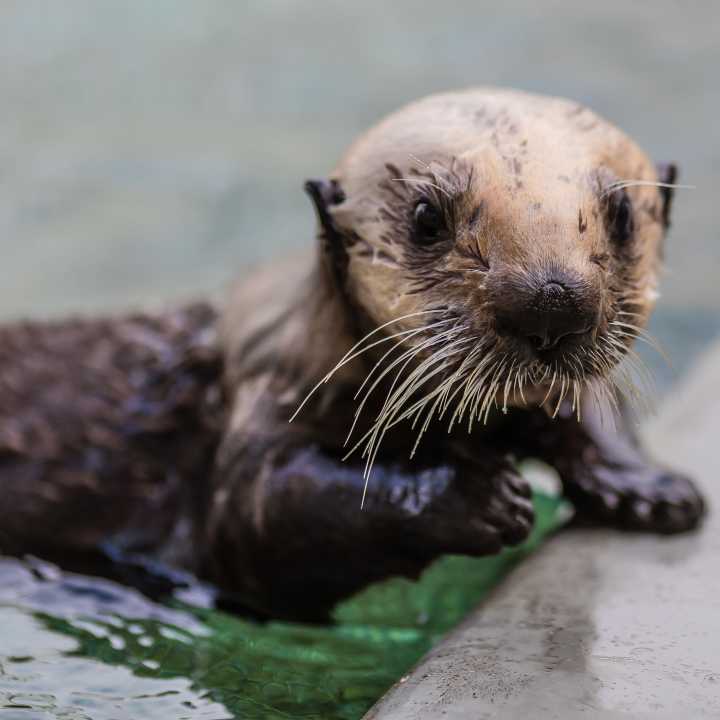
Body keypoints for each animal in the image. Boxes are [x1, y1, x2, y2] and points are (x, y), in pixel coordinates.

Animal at [0, 89, 705, 621]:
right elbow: (269, 515)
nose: (551, 301)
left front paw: (651, 489)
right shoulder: (264, 402)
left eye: (622, 213)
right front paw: (474, 495)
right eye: (426, 217)